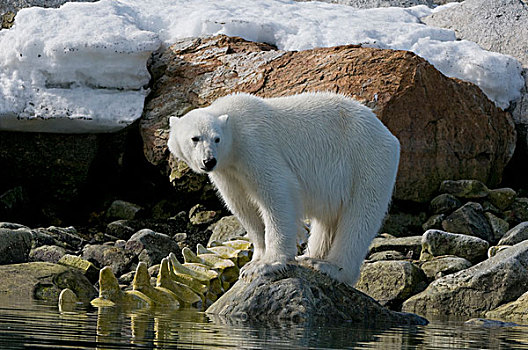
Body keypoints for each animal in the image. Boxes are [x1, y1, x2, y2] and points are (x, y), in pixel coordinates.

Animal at [169, 92, 400, 284]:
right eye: (195, 138)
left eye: (216, 138)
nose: (209, 161)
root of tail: (389, 135)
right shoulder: (228, 173)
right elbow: (244, 208)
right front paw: (254, 260)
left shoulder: (255, 147)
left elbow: (278, 194)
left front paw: (266, 264)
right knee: (327, 221)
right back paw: (311, 256)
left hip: (366, 163)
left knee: (359, 217)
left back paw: (330, 267)